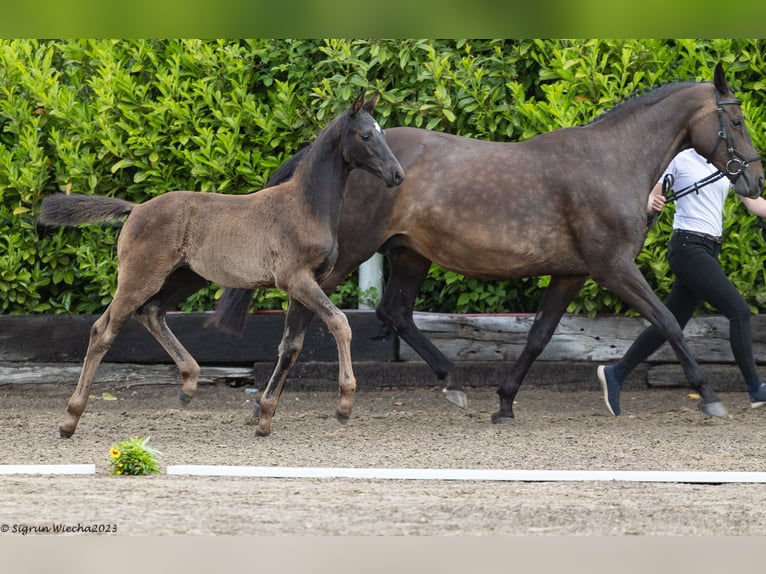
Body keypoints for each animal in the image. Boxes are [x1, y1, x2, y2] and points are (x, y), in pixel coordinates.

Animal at [40, 92, 408, 438]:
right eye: (365, 135)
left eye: (382, 133)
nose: (397, 175)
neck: (305, 206)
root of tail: (136, 208)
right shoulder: (297, 280)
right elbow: (340, 323)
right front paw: (344, 405)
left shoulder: (305, 284)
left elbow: (291, 346)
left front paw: (265, 417)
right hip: (139, 277)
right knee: (104, 330)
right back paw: (69, 419)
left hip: (185, 278)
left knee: (152, 312)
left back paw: (189, 385)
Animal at [213, 64, 764, 432]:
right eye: (736, 122)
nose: (754, 180)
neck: (610, 162)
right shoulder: (614, 267)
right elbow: (668, 321)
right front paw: (709, 396)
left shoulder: (573, 272)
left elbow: (539, 336)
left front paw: (504, 402)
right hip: (349, 254)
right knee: (310, 312)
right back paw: (275, 405)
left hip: (410, 254)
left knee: (395, 312)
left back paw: (453, 382)